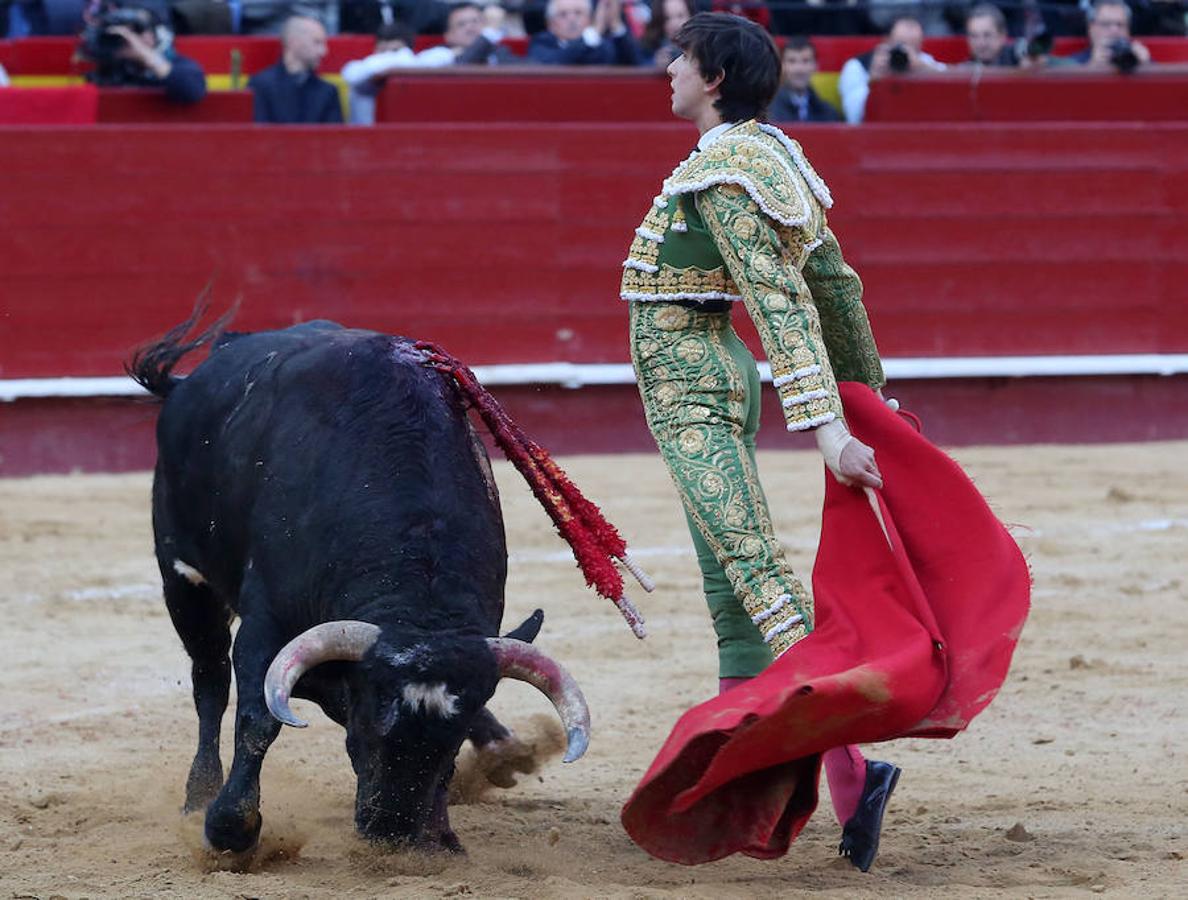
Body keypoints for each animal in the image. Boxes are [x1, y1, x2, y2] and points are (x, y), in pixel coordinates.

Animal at [128, 315, 589, 859]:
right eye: (369, 724)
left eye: (451, 740)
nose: (392, 830)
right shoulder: (267, 623)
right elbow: (258, 715)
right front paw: (229, 827)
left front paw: (443, 833)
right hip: (183, 580)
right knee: (210, 682)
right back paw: (198, 795)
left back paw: (504, 751)